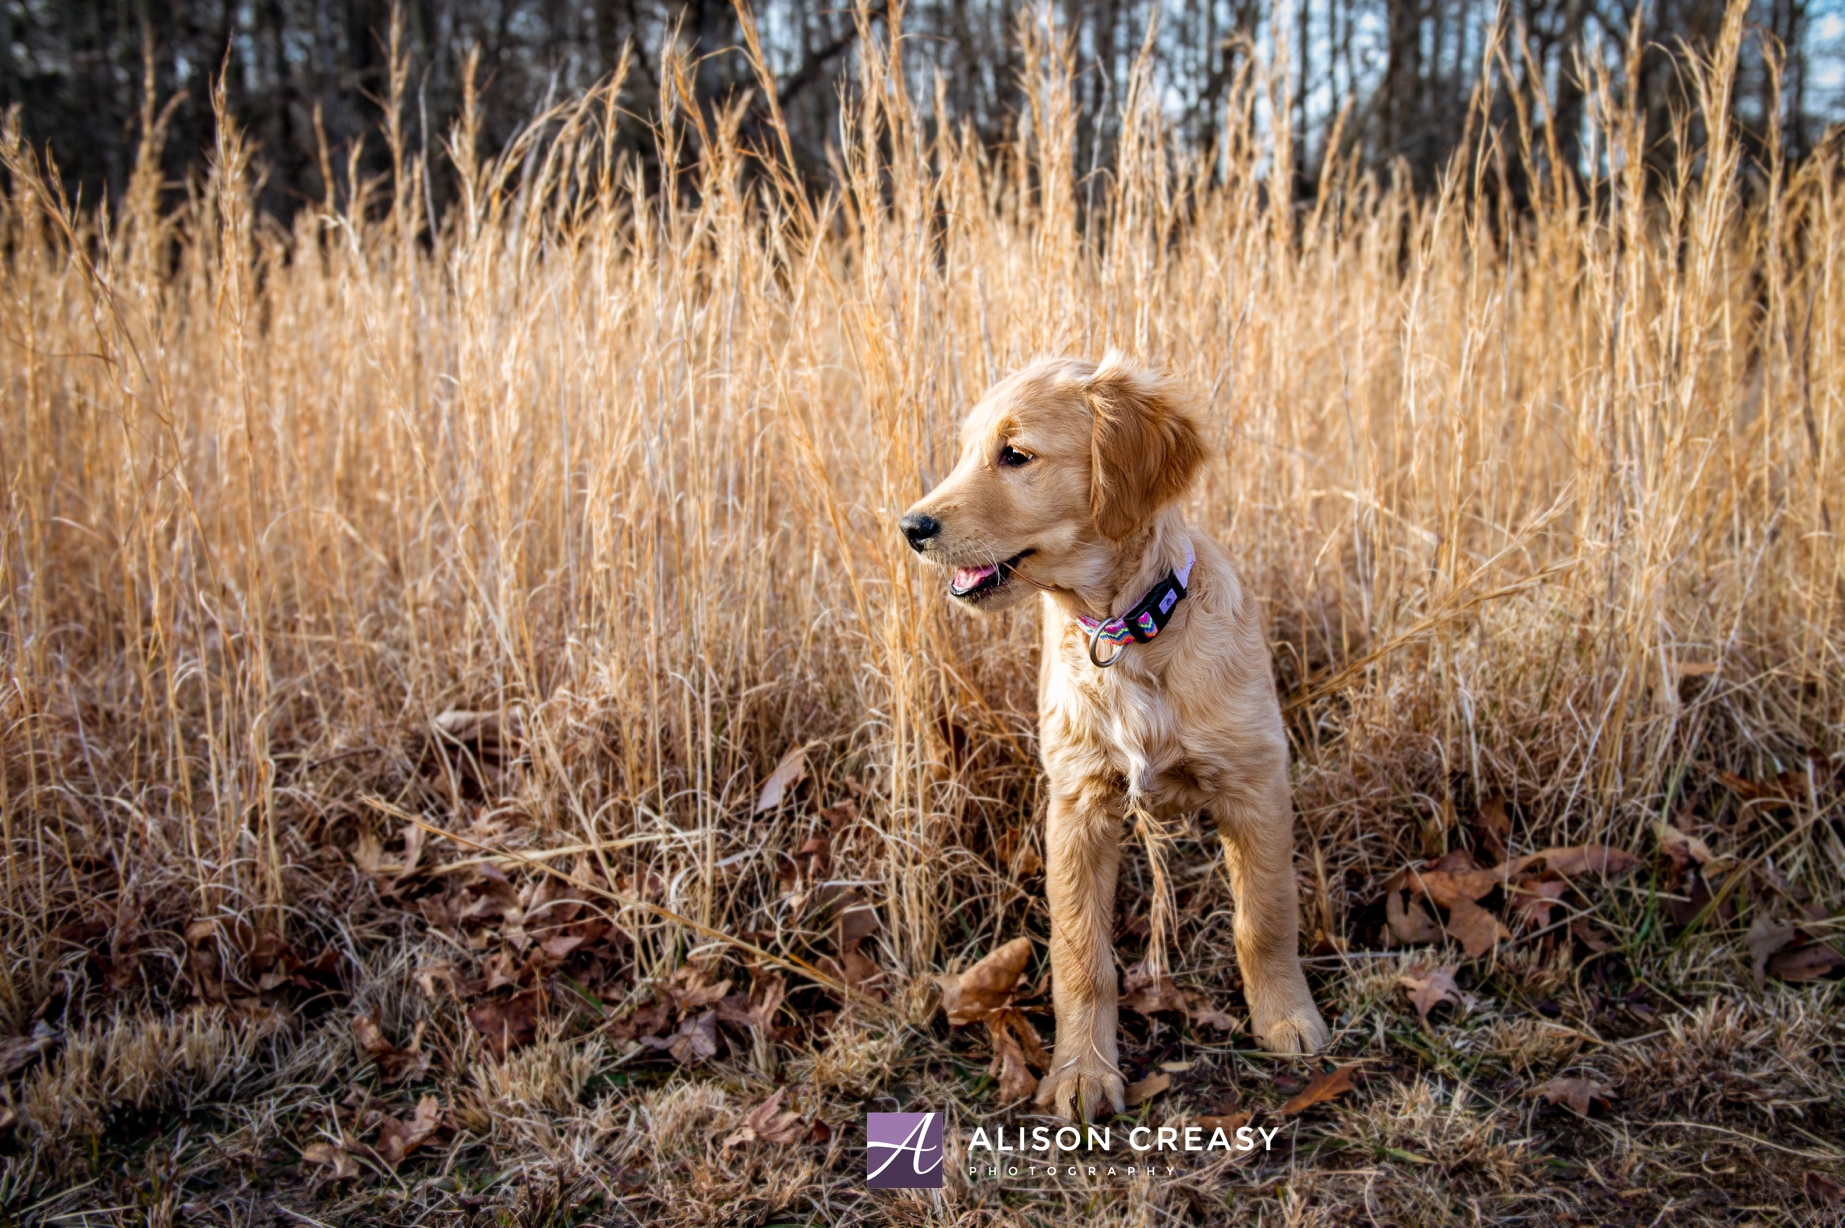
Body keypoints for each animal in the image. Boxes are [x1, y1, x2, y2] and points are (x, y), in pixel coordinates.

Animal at [896, 348, 1321, 1113]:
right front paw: (1082, 1072)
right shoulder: (1077, 803)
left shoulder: (1256, 782)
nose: (910, 527)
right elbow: (1080, 955)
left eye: (1015, 455)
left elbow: (1264, 917)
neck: (1125, 633)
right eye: (967, 450)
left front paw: (1285, 1017)